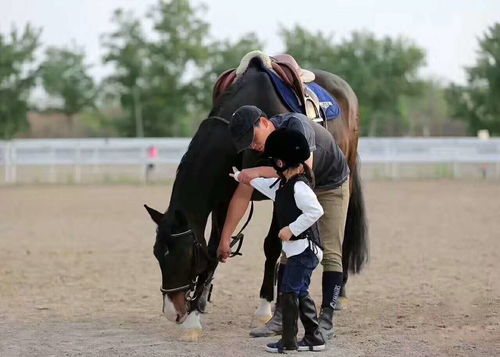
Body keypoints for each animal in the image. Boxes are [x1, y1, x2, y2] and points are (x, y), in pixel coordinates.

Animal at [145, 54, 368, 336]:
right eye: (156, 253)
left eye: (182, 254)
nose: (171, 312)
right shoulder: (223, 200)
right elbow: (215, 247)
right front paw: (196, 312)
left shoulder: (281, 192)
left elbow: (272, 245)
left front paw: (264, 308)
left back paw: (339, 295)